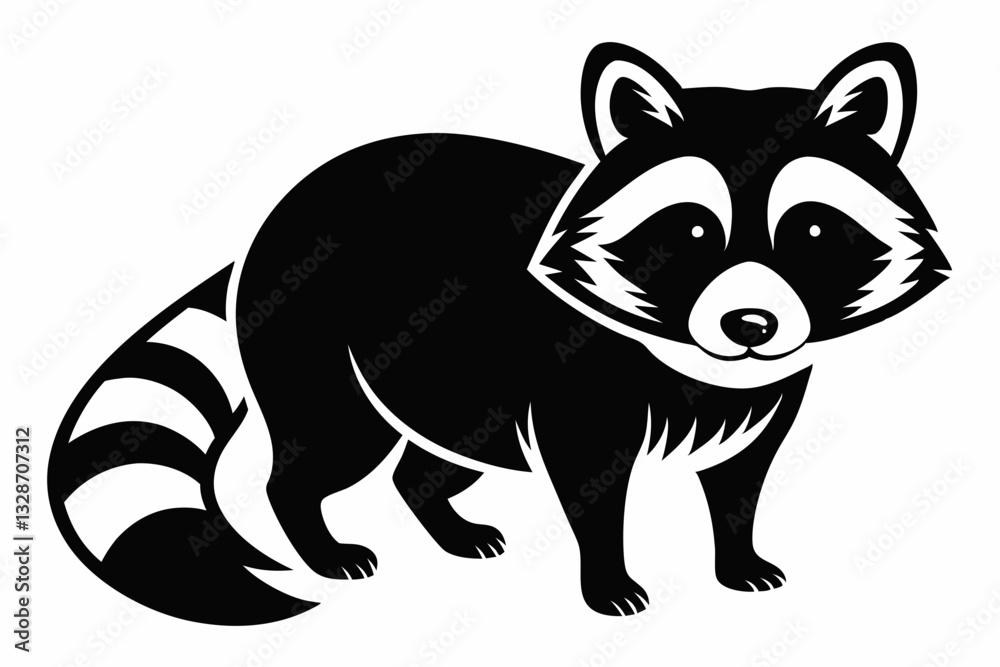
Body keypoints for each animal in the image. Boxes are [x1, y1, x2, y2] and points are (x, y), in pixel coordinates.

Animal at [49, 42, 948, 624]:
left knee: (428, 461)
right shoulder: (580, 376)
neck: (692, 353)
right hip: (320, 337)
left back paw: (444, 516)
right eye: (692, 232)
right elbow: (593, 484)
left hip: (451, 377)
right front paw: (609, 578)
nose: (751, 323)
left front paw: (738, 557)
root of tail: (279, 212)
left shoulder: (762, 392)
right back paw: (317, 537)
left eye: (814, 232)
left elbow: (740, 479)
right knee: (320, 450)